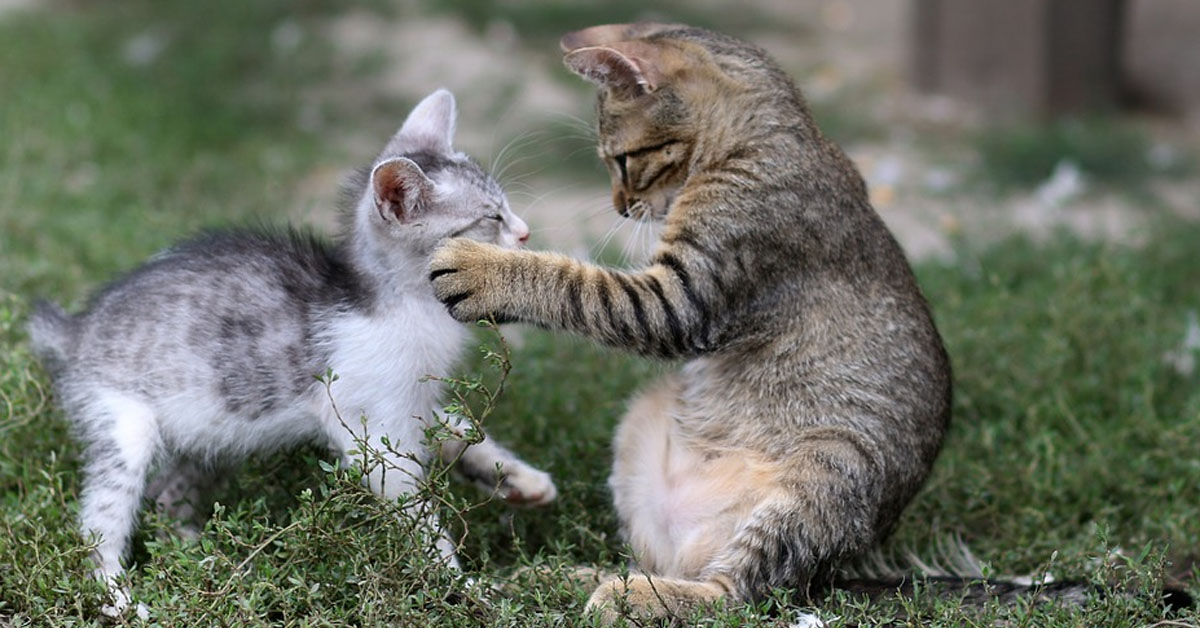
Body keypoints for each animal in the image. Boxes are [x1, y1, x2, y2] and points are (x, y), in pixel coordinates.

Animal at [27, 89, 552, 619]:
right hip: (125, 426)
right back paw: (120, 597)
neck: (401, 304)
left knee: (166, 495)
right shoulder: (373, 433)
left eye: (506, 208)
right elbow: (419, 516)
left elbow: (464, 433)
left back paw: (204, 556)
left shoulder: (413, 404)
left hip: (213, 430)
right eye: (491, 218)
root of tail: (76, 329)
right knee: (98, 523)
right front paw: (463, 586)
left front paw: (519, 479)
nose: (526, 232)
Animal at [429, 23, 945, 624]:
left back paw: (626, 595)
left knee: (733, 595)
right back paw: (561, 575)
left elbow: (576, 283)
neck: (763, 139)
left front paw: (481, 268)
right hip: (643, 424)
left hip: (828, 468)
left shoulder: (680, 297)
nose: (621, 205)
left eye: (623, 160)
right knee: (658, 563)